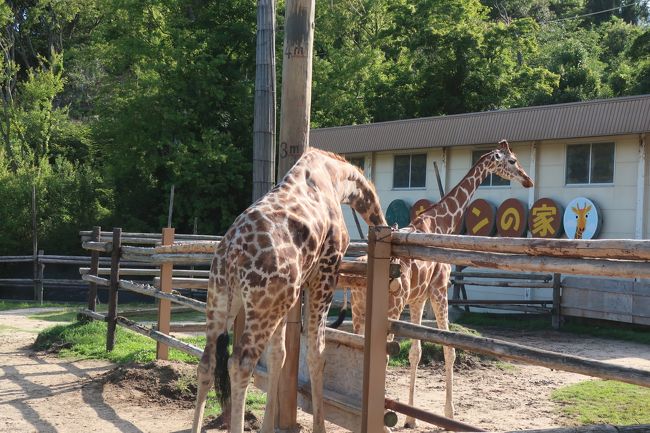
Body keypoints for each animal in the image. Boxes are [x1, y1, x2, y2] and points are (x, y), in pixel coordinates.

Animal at [190, 148, 388, 432]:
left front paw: (268, 426)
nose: (381, 222)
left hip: (222, 298)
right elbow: (317, 354)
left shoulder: (289, 295)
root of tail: (231, 255)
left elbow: (279, 356)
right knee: (240, 363)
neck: (336, 179)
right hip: (263, 306)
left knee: (208, 362)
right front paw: (319, 427)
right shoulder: (325, 274)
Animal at [336, 139, 528, 426]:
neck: (441, 223)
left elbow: (415, 351)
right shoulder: (439, 290)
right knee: (382, 355)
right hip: (391, 309)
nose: (527, 180)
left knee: (358, 347)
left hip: (360, 311)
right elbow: (449, 349)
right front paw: (449, 414)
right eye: (512, 160)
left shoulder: (418, 298)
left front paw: (411, 418)